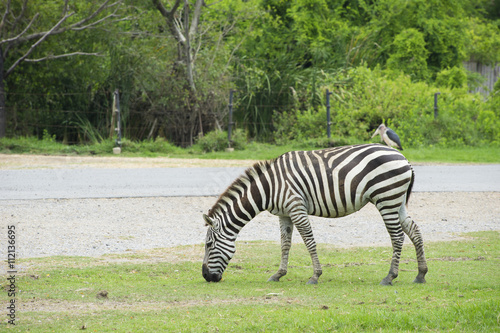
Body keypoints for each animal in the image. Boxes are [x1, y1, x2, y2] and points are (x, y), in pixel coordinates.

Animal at [201, 143, 428, 286]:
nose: (205, 276)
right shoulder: (284, 214)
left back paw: (390, 277)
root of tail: (404, 158)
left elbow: (309, 241)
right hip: (397, 201)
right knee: (414, 231)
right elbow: (285, 244)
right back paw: (420, 274)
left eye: (209, 245)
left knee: (397, 237)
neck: (269, 188)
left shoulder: (296, 207)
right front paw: (278, 274)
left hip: (386, 198)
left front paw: (315, 276)